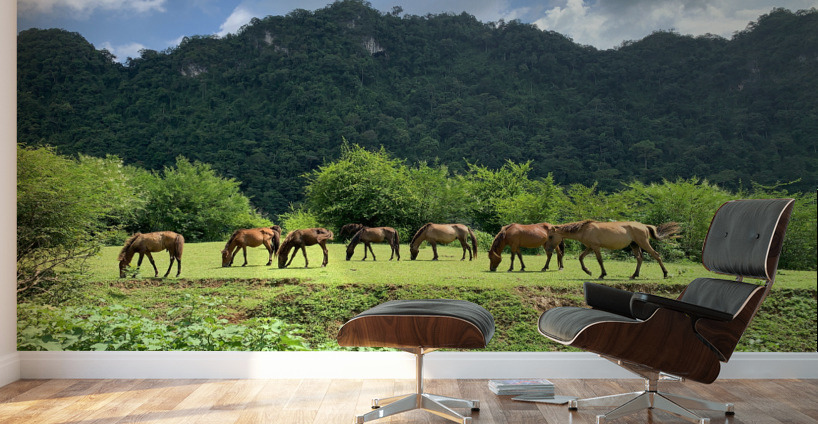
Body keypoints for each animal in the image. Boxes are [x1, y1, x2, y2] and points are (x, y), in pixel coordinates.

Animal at [547, 220, 680, 279]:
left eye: (551, 236)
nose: (548, 249)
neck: (584, 229)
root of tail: (644, 226)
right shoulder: (590, 247)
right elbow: (580, 257)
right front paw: (588, 271)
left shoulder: (595, 247)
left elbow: (600, 260)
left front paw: (602, 274)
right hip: (634, 245)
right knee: (639, 259)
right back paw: (634, 275)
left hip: (643, 243)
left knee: (656, 255)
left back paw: (665, 273)